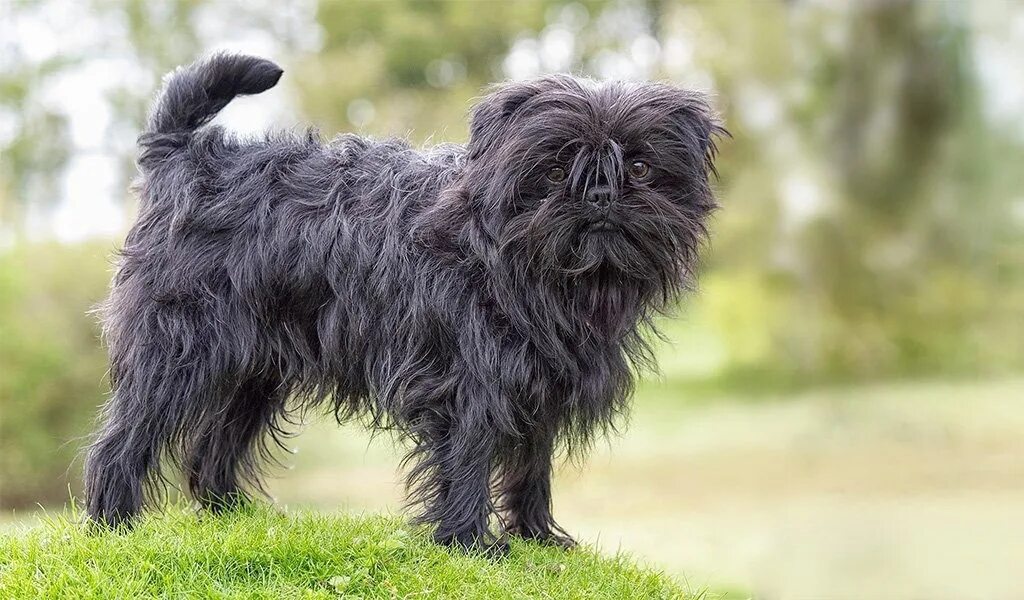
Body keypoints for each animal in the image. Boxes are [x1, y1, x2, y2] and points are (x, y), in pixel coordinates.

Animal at [83, 52, 724, 552]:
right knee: (123, 440)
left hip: (256, 366)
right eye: (558, 166)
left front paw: (537, 538)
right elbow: (468, 458)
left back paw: (232, 520)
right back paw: (113, 526)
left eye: (640, 166)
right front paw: (470, 545)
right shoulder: (470, 381)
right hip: (178, 349)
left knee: (213, 448)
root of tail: (183, 157)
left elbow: (531, 464)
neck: (545, 275)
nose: (600, 192)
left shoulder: (539, 380)